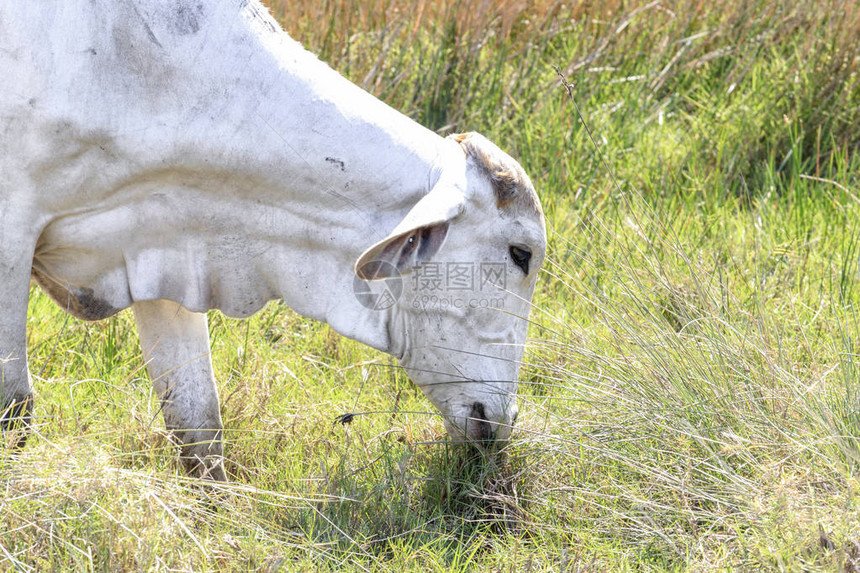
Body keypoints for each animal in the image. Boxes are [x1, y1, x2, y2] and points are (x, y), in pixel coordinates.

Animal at [0, 2, 544, 480]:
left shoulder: (160, 242)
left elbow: (198, 423)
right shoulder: (11, 237)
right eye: (521, 254)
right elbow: (15, 406)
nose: (509, 420)